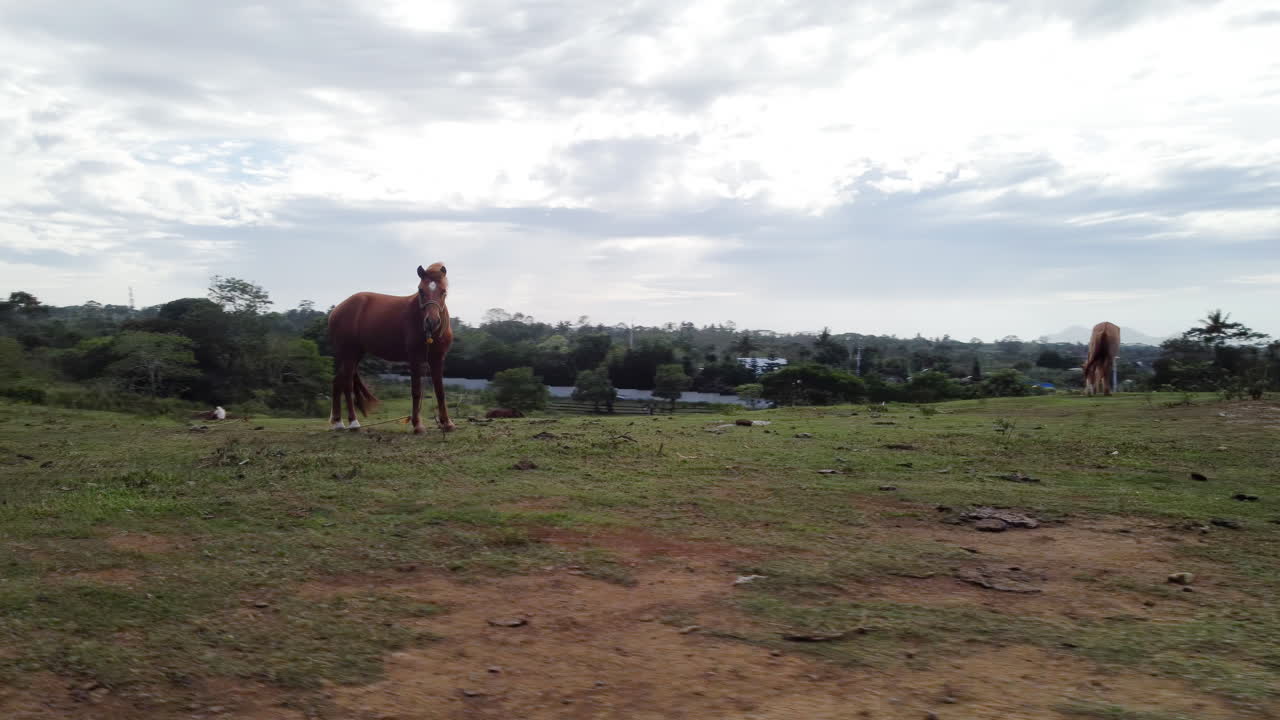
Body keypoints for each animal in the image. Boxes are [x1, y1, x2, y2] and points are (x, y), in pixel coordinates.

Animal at [327, 262, 455, 433]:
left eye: (443, 291)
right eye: (421, 290)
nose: (432, 322)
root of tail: (336, 310)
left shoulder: (437, 359)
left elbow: (440, 391)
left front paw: (447, 423)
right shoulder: (414, 359)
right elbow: (416, 391)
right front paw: (417, 425)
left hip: (354, 354)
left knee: (338, 382)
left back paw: (338, 423)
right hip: (349, 353)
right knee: (347, 384)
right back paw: (353, 423)